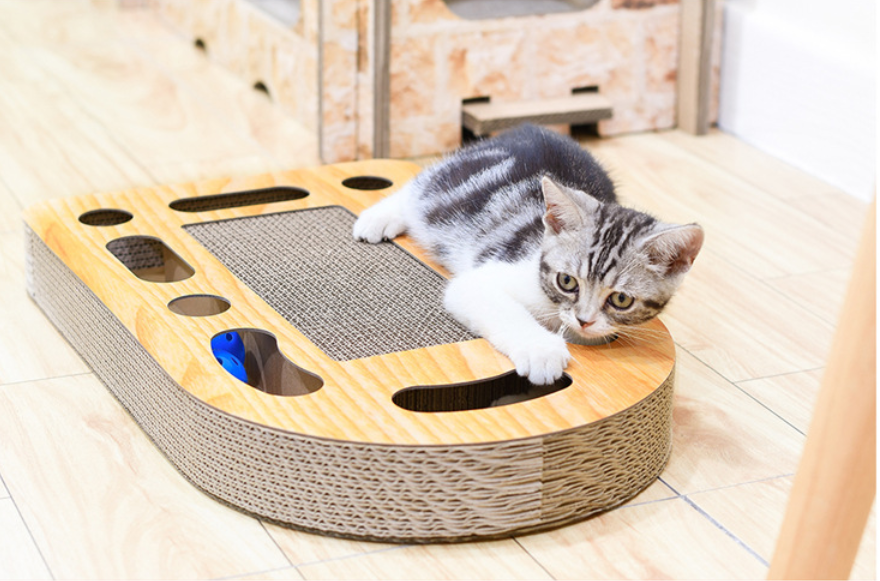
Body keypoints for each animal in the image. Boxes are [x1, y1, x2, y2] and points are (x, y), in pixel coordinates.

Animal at [350, 123, 700, 386]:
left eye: (621, 300)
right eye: (566, 281)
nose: (583, 320)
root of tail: (530, 128)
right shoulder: (480, 280)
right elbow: (501, 308)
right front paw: (541, 350)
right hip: (451, 183)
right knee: (419, 187)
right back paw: (380, 217)